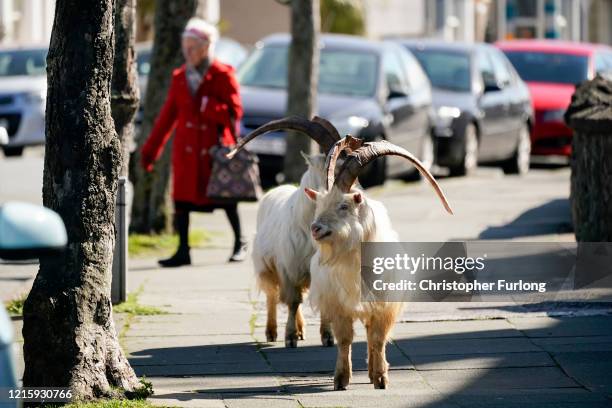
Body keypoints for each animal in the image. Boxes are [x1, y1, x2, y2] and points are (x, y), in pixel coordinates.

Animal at [228, 115, 344, 348]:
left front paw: (327, 337)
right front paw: (289, 338)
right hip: (266, 266)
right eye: (332, 169)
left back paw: (301, 330)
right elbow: (292, 301)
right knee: (273, 295)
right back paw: (272, 332)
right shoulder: (289, 266)